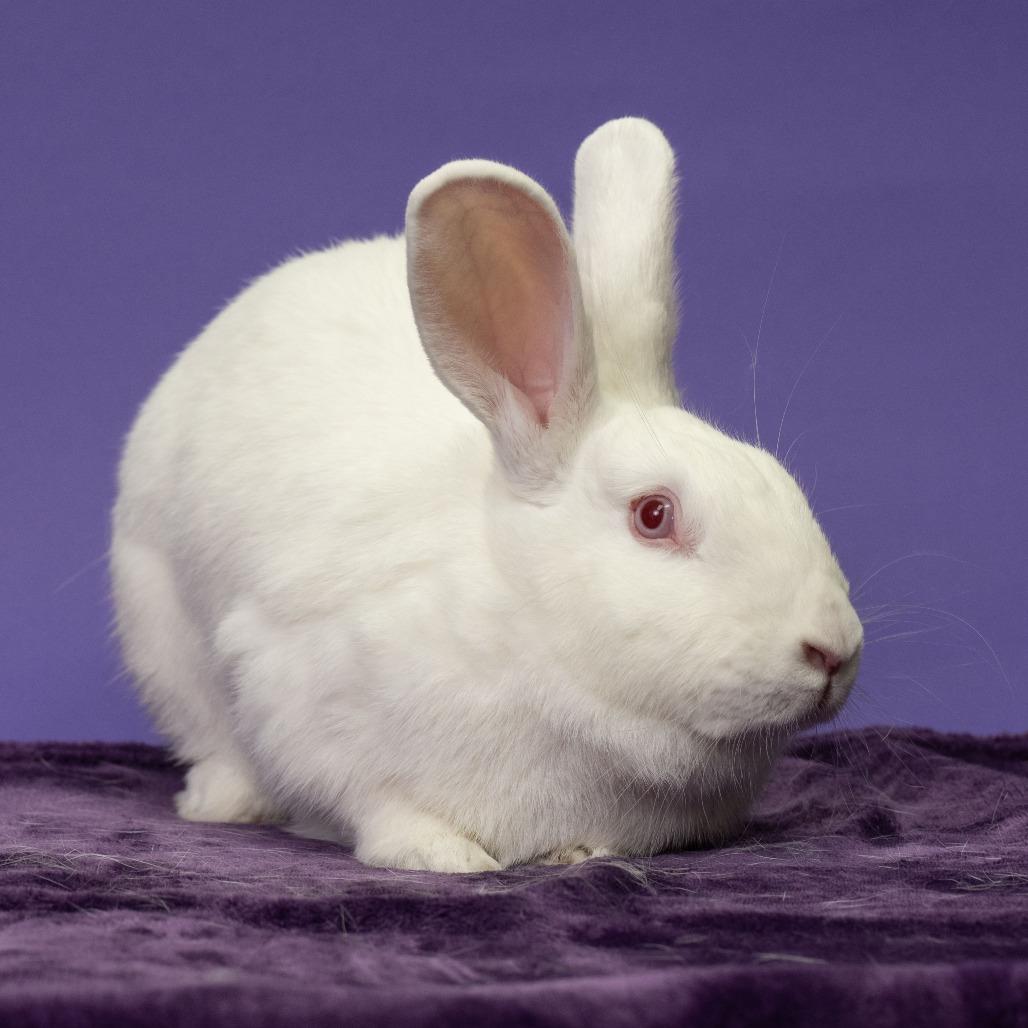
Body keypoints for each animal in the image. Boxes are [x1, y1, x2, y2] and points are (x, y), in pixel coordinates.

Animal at [110, 117, 863, 873]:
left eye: (778, 478)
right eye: (654, 515)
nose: (834, 649)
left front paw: (581, 854)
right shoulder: (303, 699)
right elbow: (374, 801)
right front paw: (445, 855)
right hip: (163, 633)